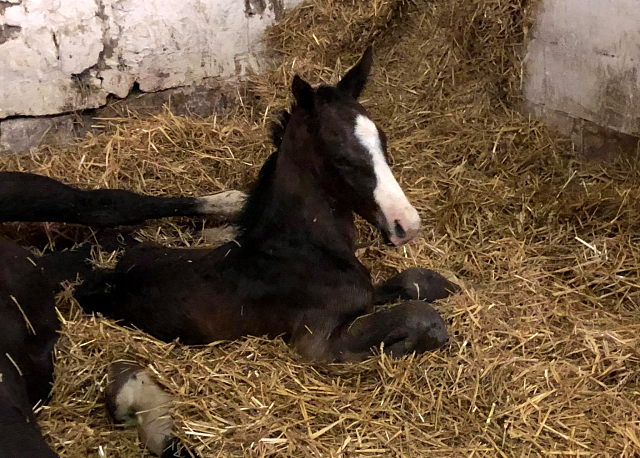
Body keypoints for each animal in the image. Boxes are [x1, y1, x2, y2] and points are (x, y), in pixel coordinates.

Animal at [75, 46, 458, 362]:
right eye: (341, 158)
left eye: (383, 141)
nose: (406, 224)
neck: (303, 249)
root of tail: (110, 277)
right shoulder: (316, 342)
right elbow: (421, 315)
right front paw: (398, 347)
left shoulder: (365, 292)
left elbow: (414, 282)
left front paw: (451, 287)